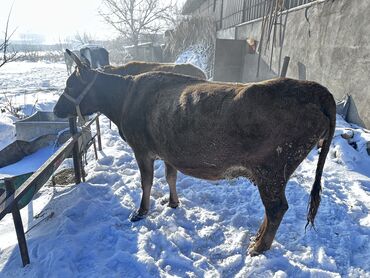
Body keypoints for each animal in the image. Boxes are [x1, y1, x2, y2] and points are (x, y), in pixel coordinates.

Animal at [54, 50, 336, 256]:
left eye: (70, 83)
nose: (56, 109)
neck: (125, 98)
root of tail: (313, 88)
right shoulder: (168, 150)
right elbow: (170, 177)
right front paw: (173, 202)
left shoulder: (142, 149)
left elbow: (146, 182)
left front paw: (141, 212)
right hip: (275, 173)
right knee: (273, 210)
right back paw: (256, 238)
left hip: (272, 170)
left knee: (277, 208)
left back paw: (258, 247)